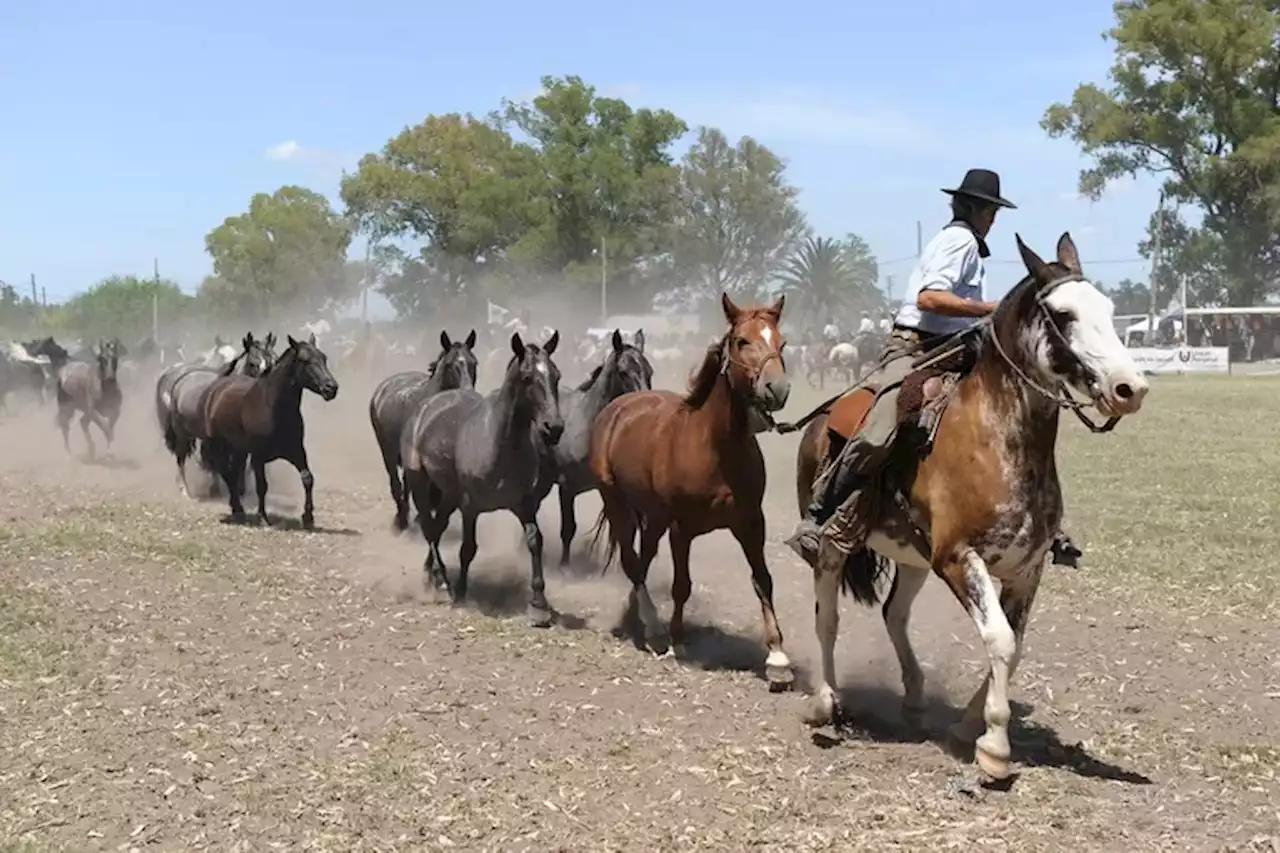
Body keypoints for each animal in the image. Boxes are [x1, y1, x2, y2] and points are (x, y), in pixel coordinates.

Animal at [371, 327, 481, 527]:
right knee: (396, 483)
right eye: (450, 364)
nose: (468, 391)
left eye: (473, 362)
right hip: (387, 451)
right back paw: (401, 518)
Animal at [404, 333, 565, 625]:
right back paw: (441, 583)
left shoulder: (525, 505)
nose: (554, 428)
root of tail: (425, 407)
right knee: (429, 529)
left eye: (556, 376)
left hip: (448, 496)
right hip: (420, 483)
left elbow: (535, 541)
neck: (500, 442)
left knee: (438, 526)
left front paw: (539, 605)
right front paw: (461, 593)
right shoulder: (471, 507)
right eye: (527, 377)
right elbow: (468, 548)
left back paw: (429, 575)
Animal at [586, 290, 788, 686]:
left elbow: (763, 580)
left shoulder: (750, 523)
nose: (778, 389)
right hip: (617, 501)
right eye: (742, 341)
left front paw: (777, 657)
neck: (716, 447)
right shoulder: (682, 528)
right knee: (632, 562)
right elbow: (682, 584)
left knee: (643, 558)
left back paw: (636, 612)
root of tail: (618, 407)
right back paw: (653, 629)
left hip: (653, 515)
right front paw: (677, 640)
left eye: (781, 342)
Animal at [798, 234, 1152, 778]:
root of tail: (820, 420)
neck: (996, 440)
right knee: (827, 618)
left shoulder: (1025, 569)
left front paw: (971, 726)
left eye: (1110, 309)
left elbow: (1014, 644)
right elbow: (1000, 640)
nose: (1129, 388)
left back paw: (915, 697)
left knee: (894, 615)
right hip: (836, 547)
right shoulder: (959, 558)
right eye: (1064, 314)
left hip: (911, 557)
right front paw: (995, 749)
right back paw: (824, 701)